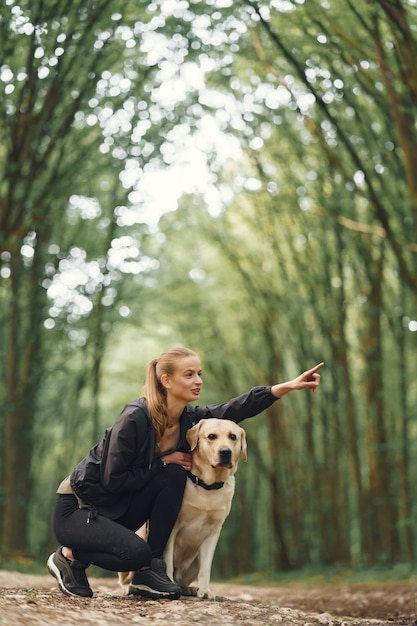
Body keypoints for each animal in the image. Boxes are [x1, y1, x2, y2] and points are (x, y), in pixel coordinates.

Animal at [117, 416, 245, 596]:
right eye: (211, 436)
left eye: (233, 437)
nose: (226, 452)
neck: (207, 485)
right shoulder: (173, 526)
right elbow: (168, 562)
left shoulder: (213, 532)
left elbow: (206, 568)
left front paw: (205, 591)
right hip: (140, 538)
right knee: (127, 578)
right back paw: (129, 587)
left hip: (195, 561)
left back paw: (188, 589)